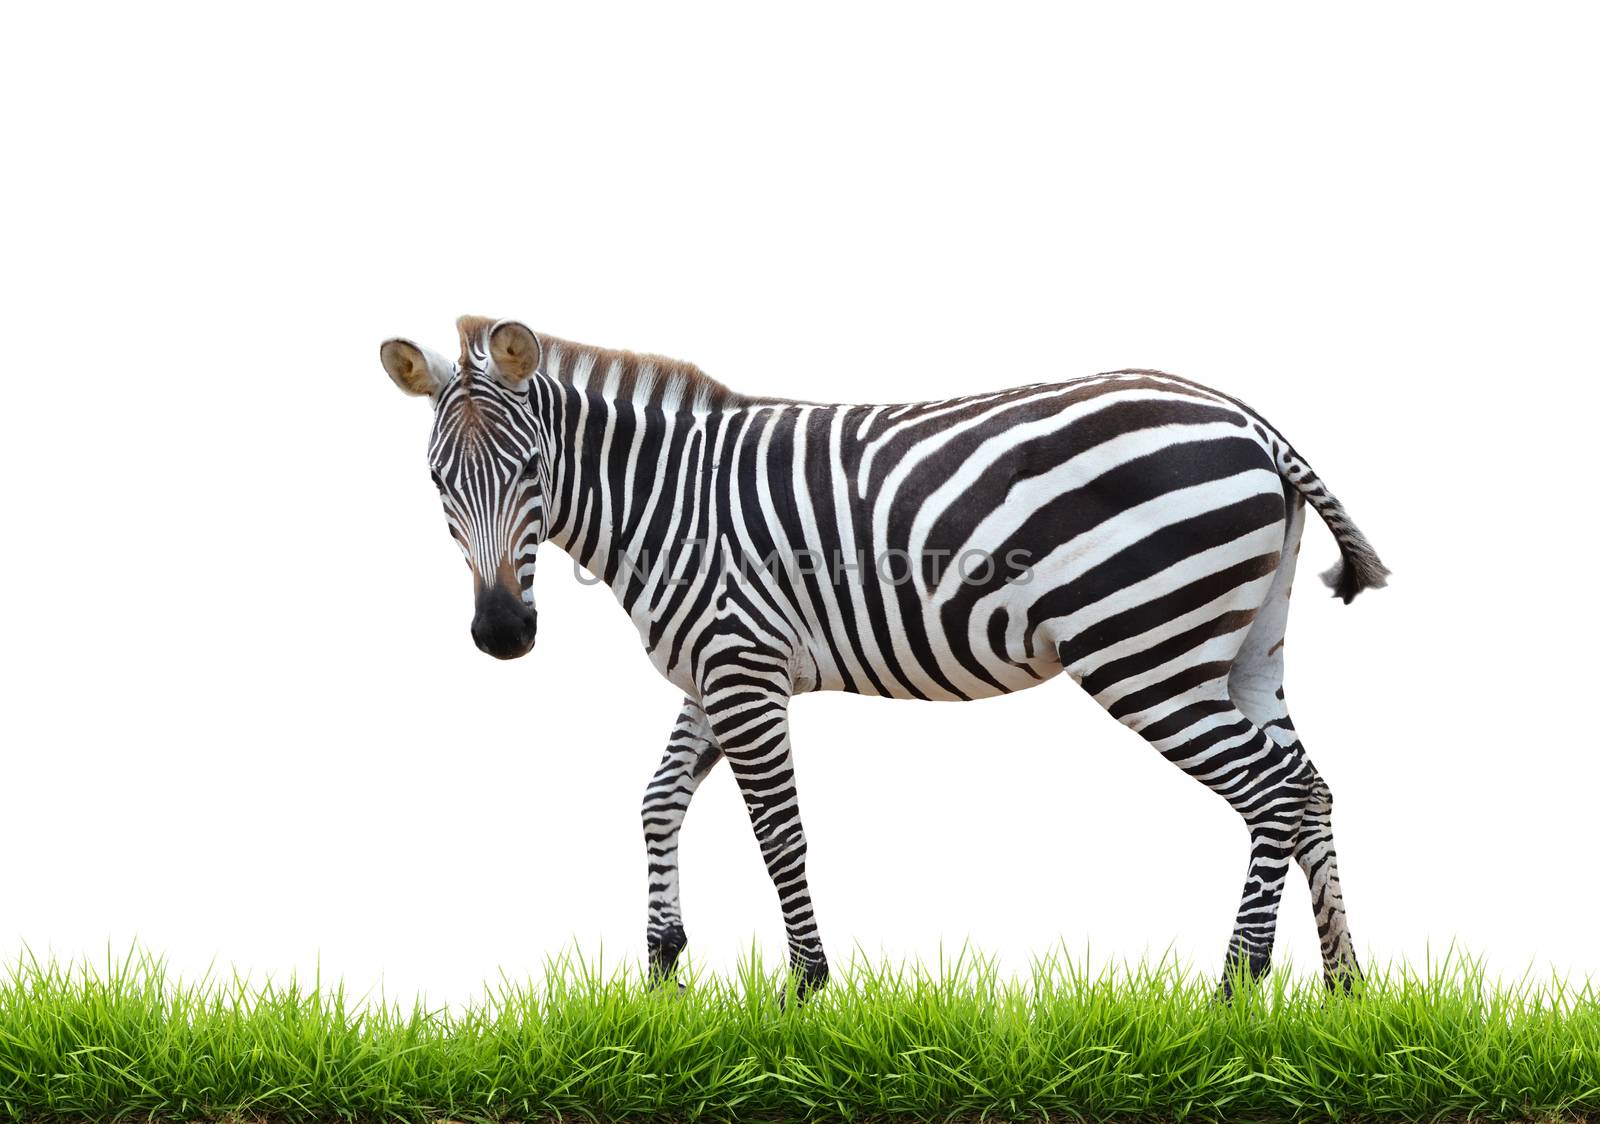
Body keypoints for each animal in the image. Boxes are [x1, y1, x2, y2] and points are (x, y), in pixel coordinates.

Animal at [377, 315, 1388, 992]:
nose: (502, 635)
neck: (667, 498)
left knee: (1272, 790)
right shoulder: (714, 668)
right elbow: (659, 801)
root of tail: (1250, 422)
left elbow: (780, 832)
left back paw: (1233, 990)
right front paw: (662, 972)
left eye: (530, 471)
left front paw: (807, 990)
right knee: (1310, 787)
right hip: (1242, 649)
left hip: (1146, 648)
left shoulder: (742, 666)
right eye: (435, 482)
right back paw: (1341, 992)